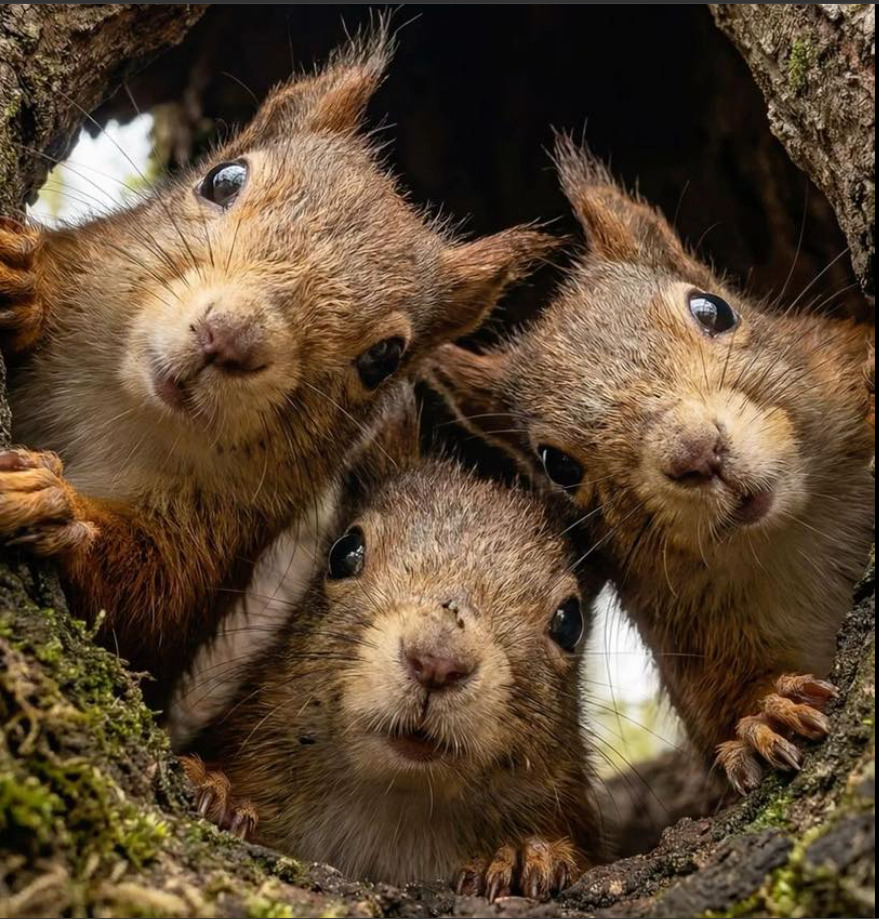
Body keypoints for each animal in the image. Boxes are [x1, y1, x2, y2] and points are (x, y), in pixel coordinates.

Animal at [0, 24, 554, 701]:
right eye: (223, 179)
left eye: (384, 358)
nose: (229, 337)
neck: (123, 410)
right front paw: (25, 283)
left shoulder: (228, 530)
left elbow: (148, 607)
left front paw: (53, 501)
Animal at [180, 387, 604, 899]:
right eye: (344, 552)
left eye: (569, 622)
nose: (437, 662)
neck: (393, 806)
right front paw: (215, 790)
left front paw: (523, 857)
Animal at [428, 138, 875, 794]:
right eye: (556, 465)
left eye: (712, 309)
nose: (695, 452)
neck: (792, 535)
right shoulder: (688, 645)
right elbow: (721, 715)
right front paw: (764, 717)